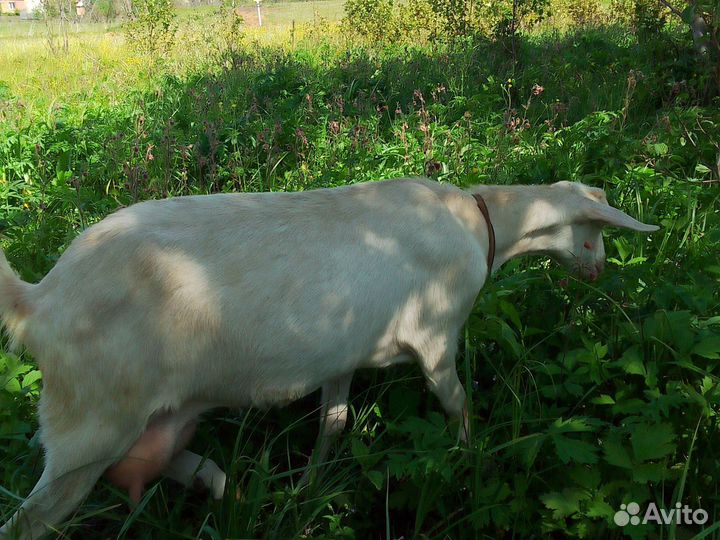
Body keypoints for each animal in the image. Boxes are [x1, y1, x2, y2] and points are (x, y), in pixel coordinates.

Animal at [0, 177, 658, 539]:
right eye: (596, 232)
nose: (599, 271)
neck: (481, 225)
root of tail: (40, 300)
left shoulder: (342, 354)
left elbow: (334, 424)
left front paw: (308, 490)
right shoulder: (435, 336)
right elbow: (457, 407)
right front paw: (470, 467)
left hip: (144, 425)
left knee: (188, 467)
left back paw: (238, 497)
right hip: (91, 428)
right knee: (30, 521)